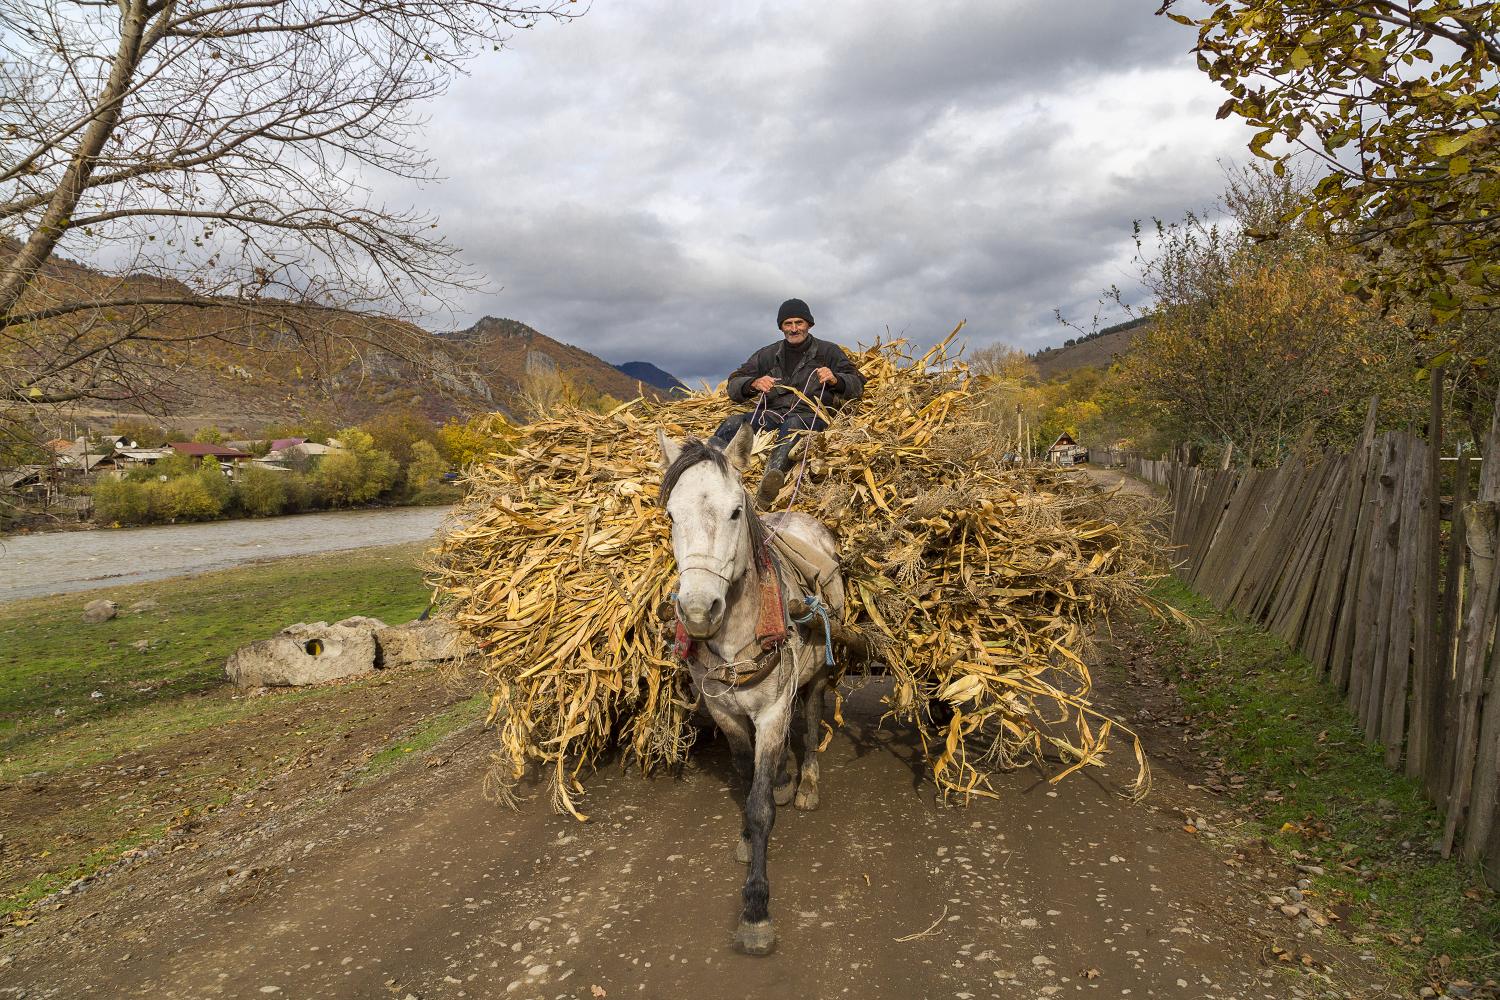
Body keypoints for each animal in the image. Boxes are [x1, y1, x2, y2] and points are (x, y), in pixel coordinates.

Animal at [657, 425, 846, 959]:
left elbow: (761, 806)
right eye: (671, 514)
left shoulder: (774, 708)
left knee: (810, 720)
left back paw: (805, 785)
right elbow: (746, 779)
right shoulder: (724, 711)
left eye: (735, 511)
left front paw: (756, 909)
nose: (698, 612)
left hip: (814, 678)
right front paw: (745, 832)